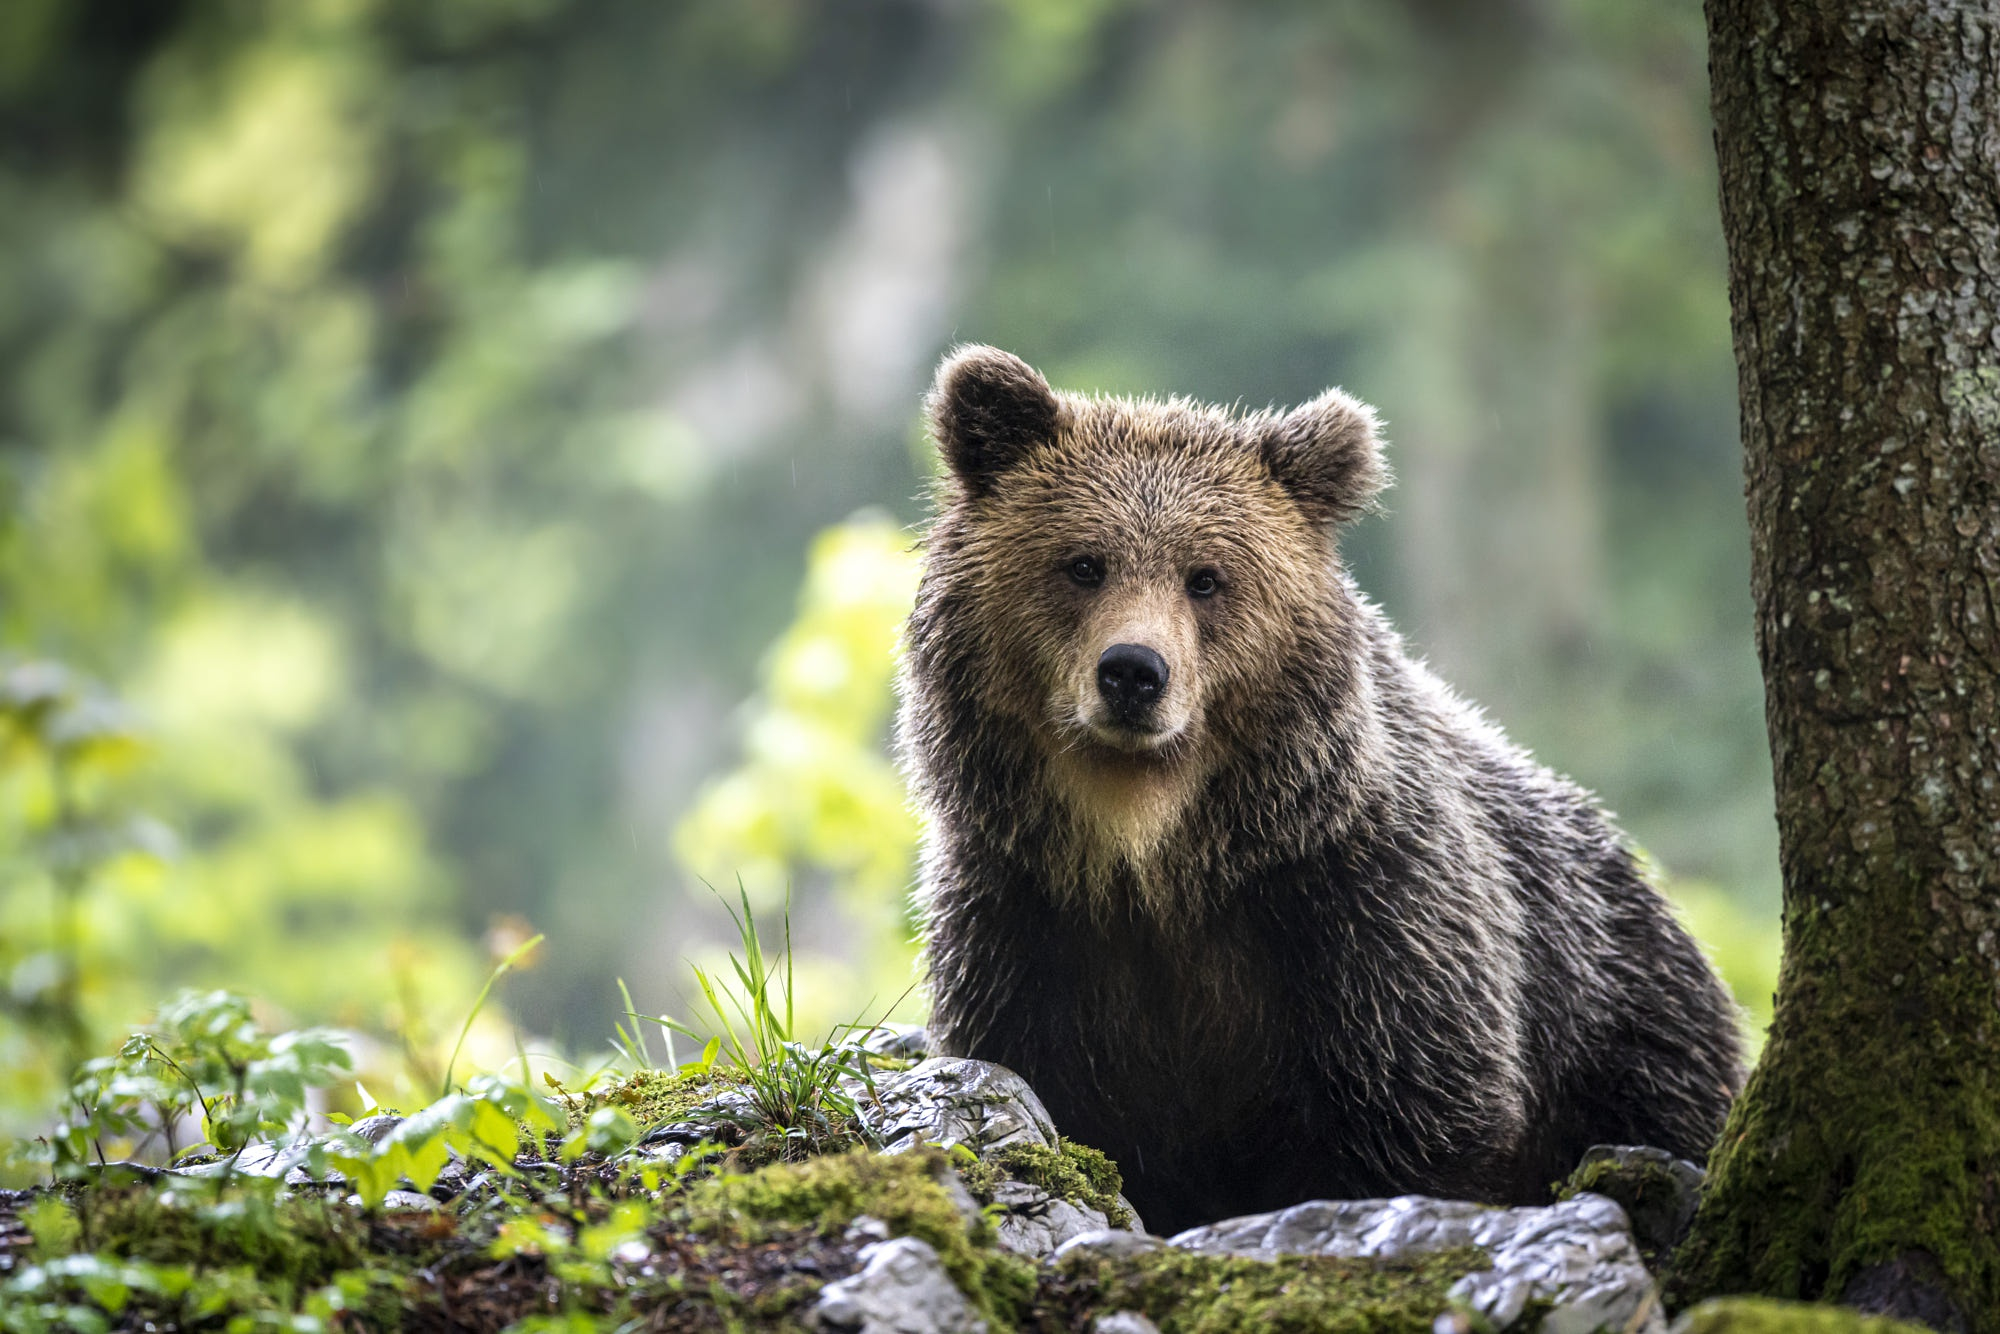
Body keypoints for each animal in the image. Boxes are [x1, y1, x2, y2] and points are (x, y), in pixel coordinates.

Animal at [900, 344, 1744, 1232]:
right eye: (1083, 563)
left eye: (1206, 578)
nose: (1133, 671)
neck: (1153, 851)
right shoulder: (1025, 916)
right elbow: (1045, 1086)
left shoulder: (1365, 908)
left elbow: (1419, 1112)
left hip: (1627, 1028)